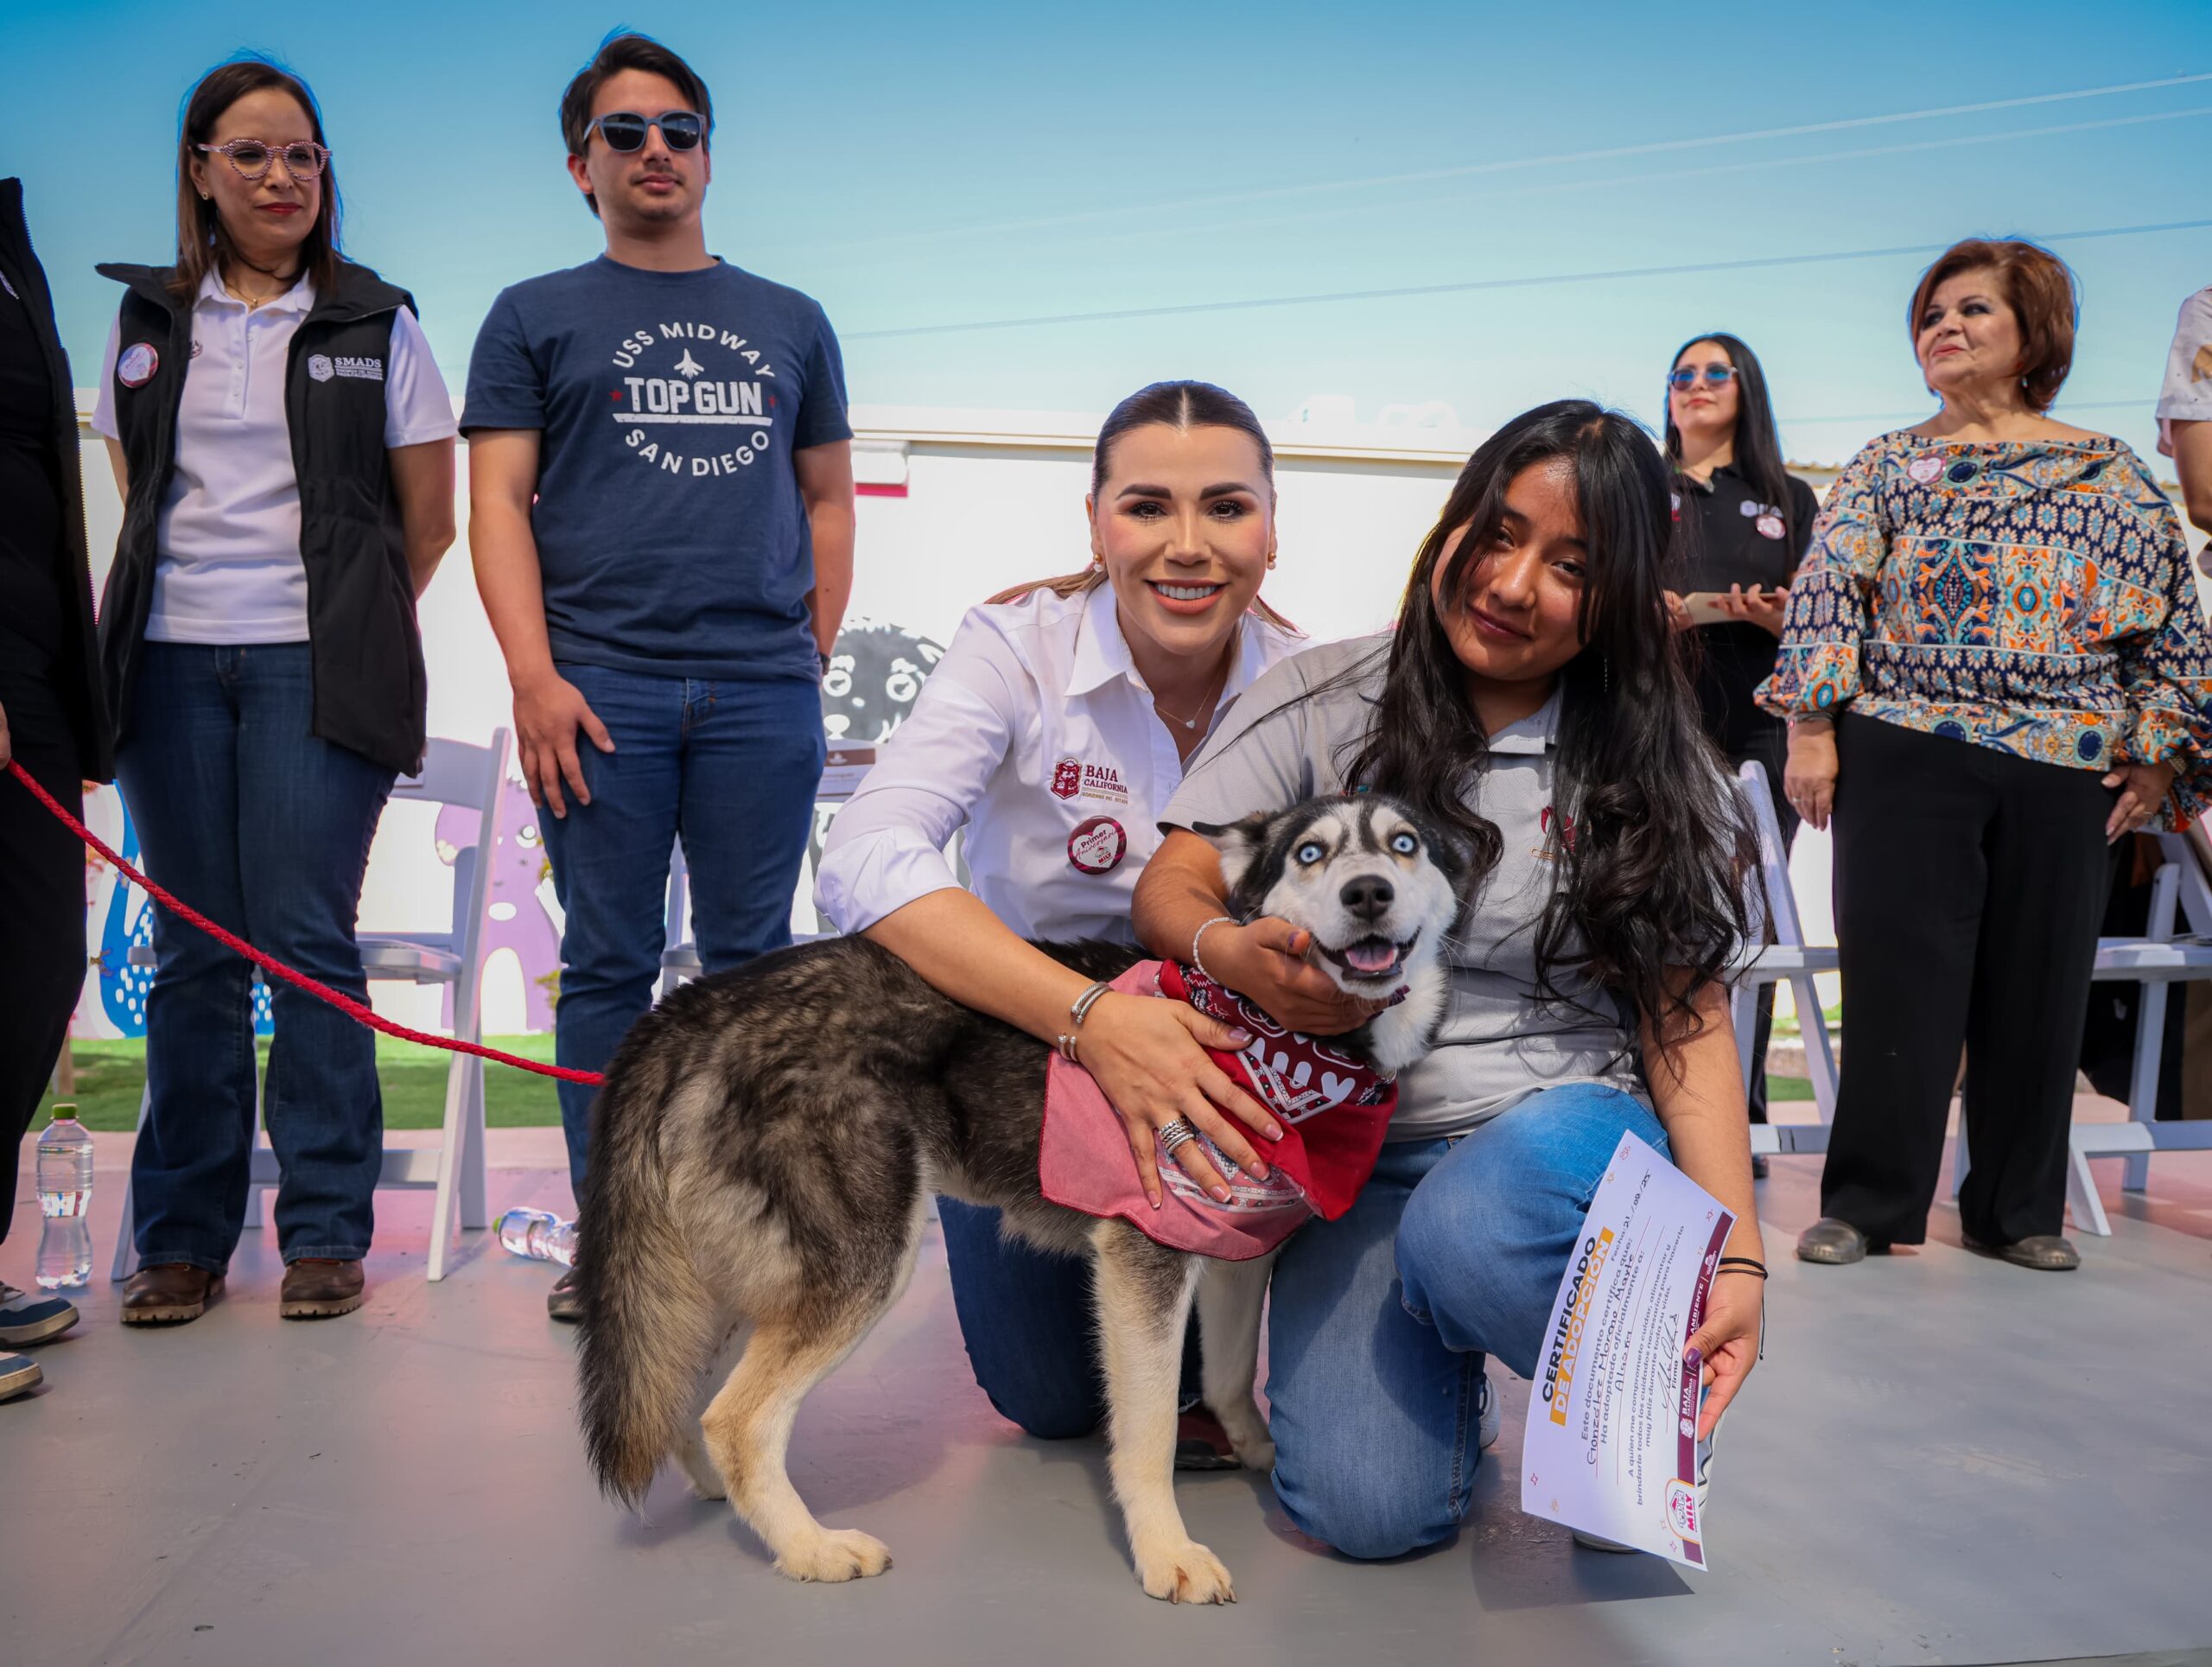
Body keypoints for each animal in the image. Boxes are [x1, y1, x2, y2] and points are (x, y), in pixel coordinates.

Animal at [570, 791, 1468, 1600]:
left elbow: (1226, 1377)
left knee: (686, 1392)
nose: (1367, 893)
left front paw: (1257, 1450)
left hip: (739, 1277)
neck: (1281, 1041)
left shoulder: (1237, 1251)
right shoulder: (1143, 1256)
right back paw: (809, 1546)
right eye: (1311, 854)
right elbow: (1146, 1434)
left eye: (1404, 844)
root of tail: (694, 1003)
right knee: (737, 1418)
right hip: (865, 1262)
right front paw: (1166, 1551)